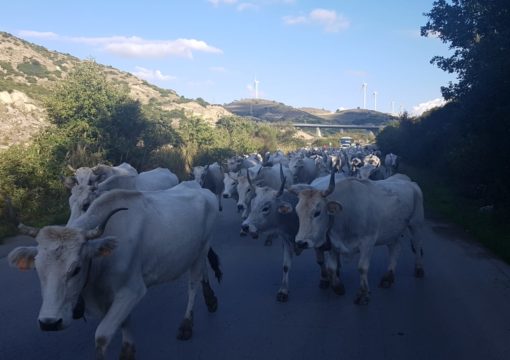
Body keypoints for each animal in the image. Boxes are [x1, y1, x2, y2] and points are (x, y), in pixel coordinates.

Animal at [7, 181, 219, 358]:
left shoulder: (132, 290)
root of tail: (202, 189)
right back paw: (210, 300)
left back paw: (187, 325)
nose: (49, 323)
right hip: (196, 251)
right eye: (38, 268)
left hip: (202, 248)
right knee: (203, 271)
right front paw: (128, 350)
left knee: (193, 284)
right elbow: (124, 323)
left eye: (76, 269)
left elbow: (102, 335)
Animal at [290, 173, 426, 306]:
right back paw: (388, 278)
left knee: (417, 245)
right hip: (392, 232)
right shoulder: (334, 242)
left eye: (317, 213)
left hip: (417, 223)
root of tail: (411, 183)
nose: (301, 243)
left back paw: (419, 269)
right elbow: (331, 267)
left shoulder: (368, 241)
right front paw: (338, 287)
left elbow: (362, 267)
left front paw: (363, 295)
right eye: (297, 212)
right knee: (396, 248)